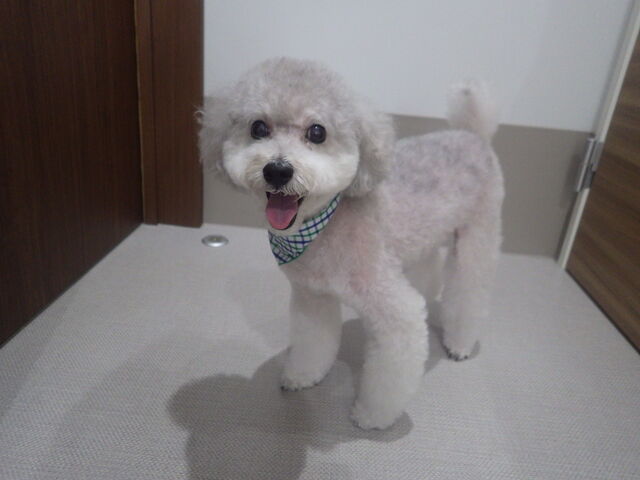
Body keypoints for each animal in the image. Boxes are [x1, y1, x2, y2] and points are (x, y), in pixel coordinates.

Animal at [199, 58, 503, 429]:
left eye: (317, 132)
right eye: (258, 127)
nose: (278, 170)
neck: (323, 226)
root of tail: (473, 134)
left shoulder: (396, 312)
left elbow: (390, 374)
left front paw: (372, 416)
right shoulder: (313, 298)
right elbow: (313, 344)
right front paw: (302, 376)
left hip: (478, 235)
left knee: (470, 291)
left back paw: (459, 341)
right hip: (422, 237)